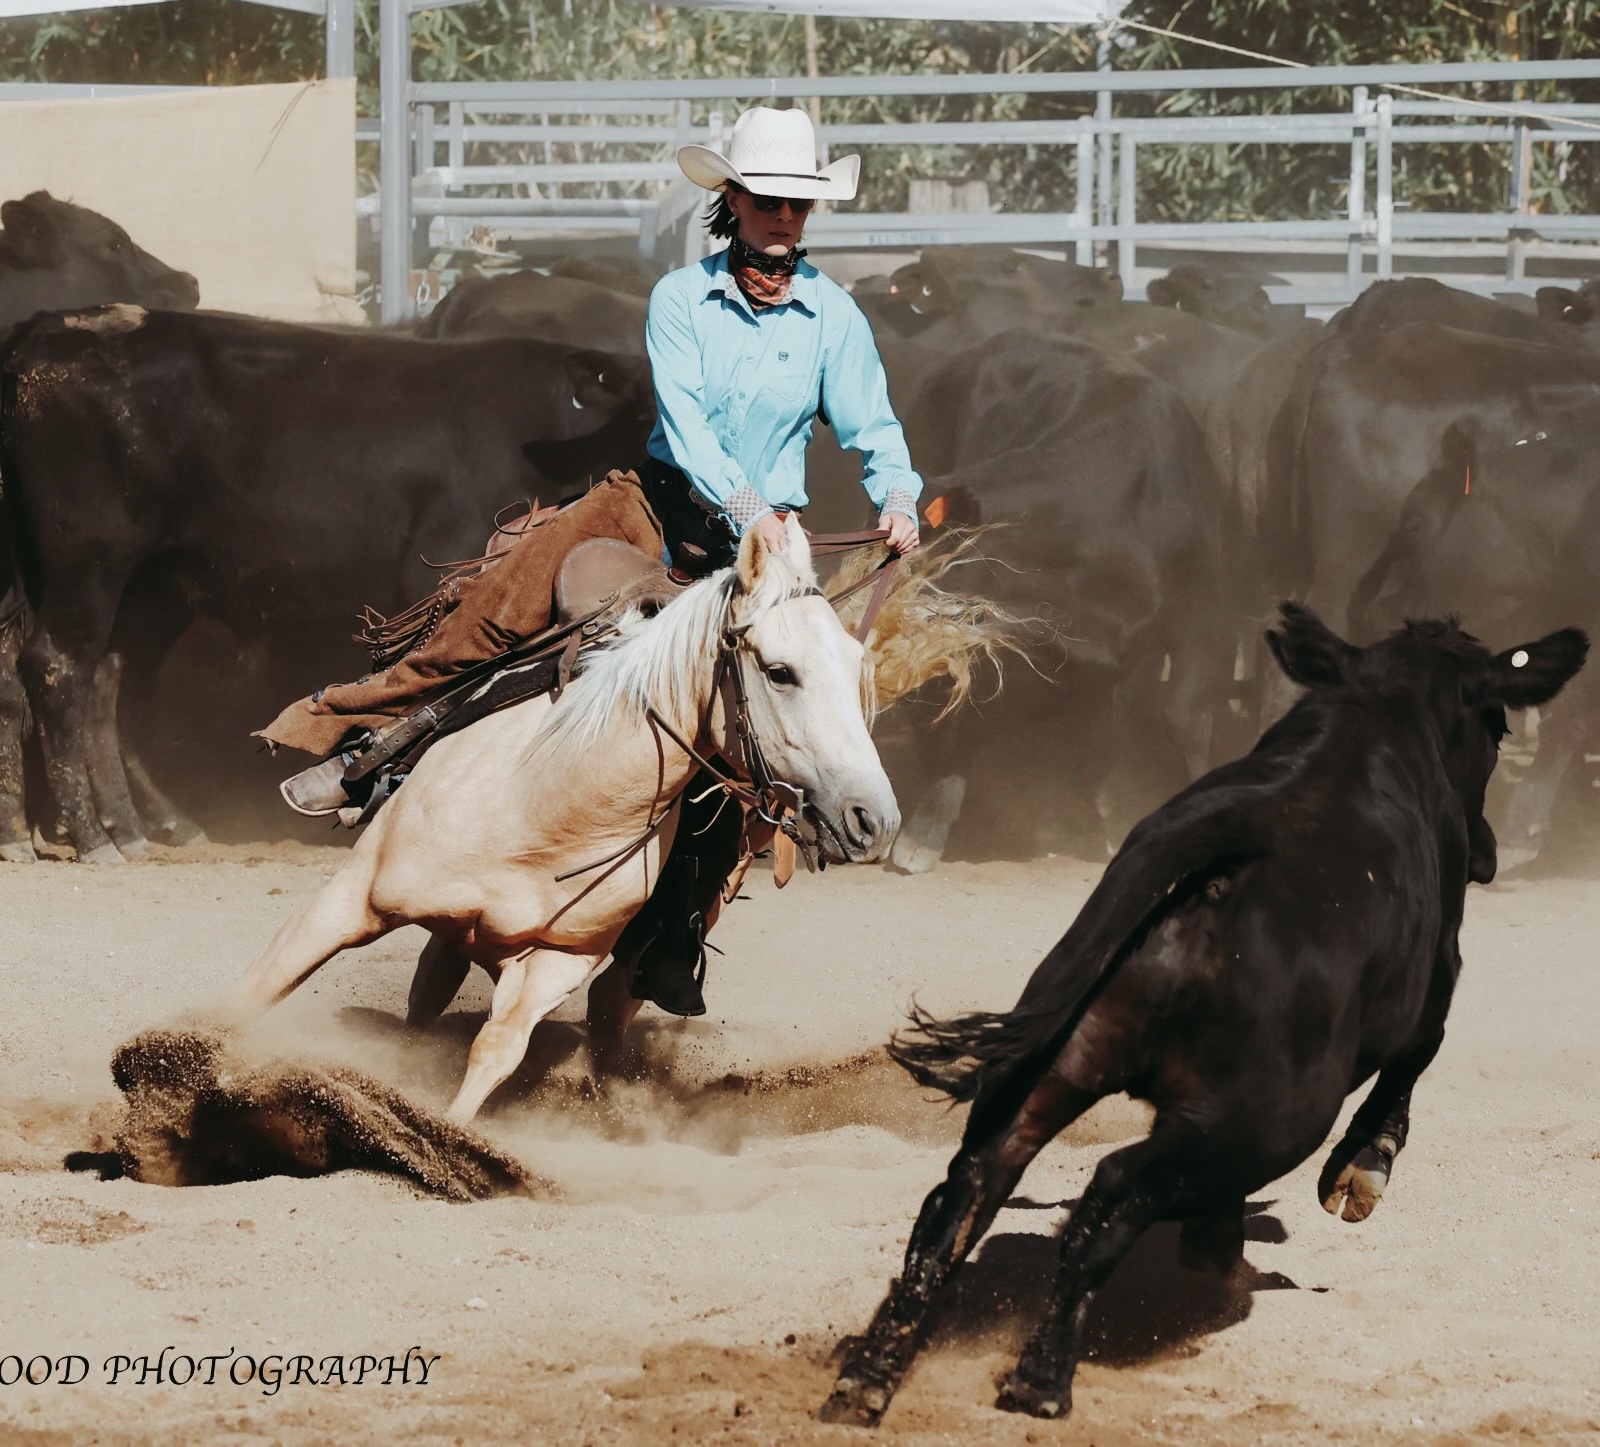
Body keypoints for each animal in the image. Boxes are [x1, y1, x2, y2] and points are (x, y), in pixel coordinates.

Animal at [0, 305, 654, 864]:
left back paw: (122, 827)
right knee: (57, 669)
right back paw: (92, 837)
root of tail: (47, 328)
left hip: (149, 585)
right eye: (643, 408)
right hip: (89, 561)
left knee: (95, 683)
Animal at [231, 517, 898, 1123]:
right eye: (781, 671)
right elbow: (259, 987)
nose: (875, 819)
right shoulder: (349, 898)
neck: (549, 803)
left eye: (854, 664)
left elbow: (496, 1053)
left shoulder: (556, 962)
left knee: (604, 1008)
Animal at [821, 602, 1586, 1427]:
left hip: (1055, 1068)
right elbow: (1412, 1065)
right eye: (1498, 725)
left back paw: (868, 1377)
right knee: (1112, 1188)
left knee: (966, 1191)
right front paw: (1360, 1171)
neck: (1380, 711)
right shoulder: (1435, 982)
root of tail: (1220, 857)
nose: (1486, 854)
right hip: (1269, 1119)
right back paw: (1042, 1377)